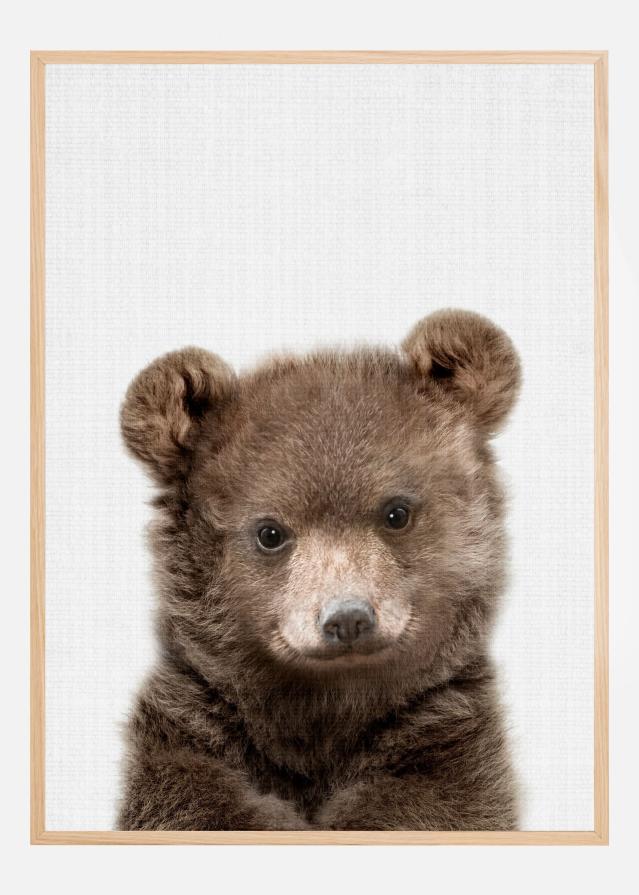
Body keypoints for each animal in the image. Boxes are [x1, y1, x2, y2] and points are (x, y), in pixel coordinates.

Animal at [116, 308, 521, 831]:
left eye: (396, 512)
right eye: (270, 532)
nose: (347, 618)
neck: (324, 713)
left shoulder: (447, 744)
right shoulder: (192, 734)